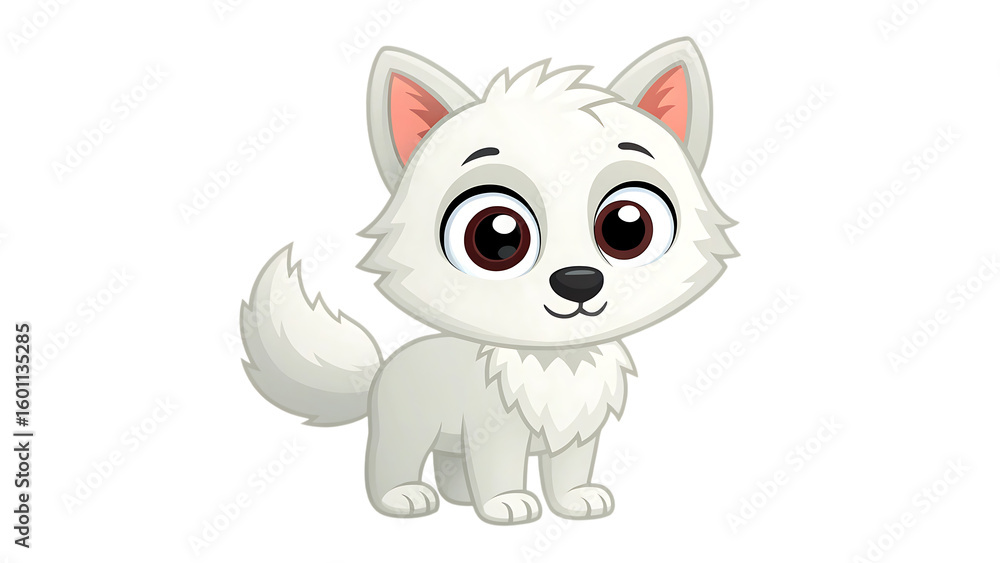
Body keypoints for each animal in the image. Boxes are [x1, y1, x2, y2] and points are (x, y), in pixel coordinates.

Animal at [240, 37, 737, 524]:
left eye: (627, 227)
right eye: (497, 237)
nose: (578, 281)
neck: (556, 361)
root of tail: (382, 369)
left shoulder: (576, 432)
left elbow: (568, 470)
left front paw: (575, 501)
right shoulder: (493, 431)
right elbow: (499, 468)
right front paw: (507, 504)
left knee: (449, 463)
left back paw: (461, 499)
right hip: (408, 427)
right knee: (391, 462)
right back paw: (404, 498)